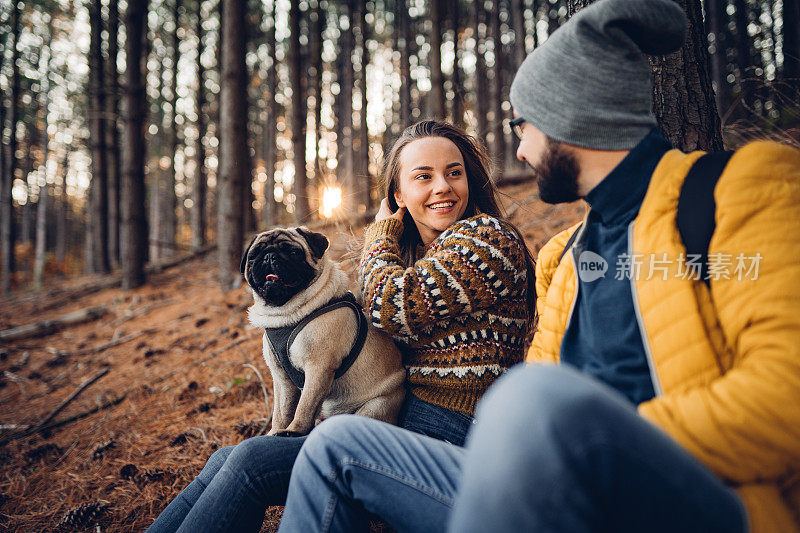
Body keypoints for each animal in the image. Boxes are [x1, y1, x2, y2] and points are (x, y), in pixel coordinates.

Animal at [239, 225, 404, 436]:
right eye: (254, 256)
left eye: (294, 252)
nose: (269, 256)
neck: (284, 313)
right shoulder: (281, 378)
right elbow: (281, 411)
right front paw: (276, 430)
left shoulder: (318, 368)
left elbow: (304, 406)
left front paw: (294, 430)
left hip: (376, 406)